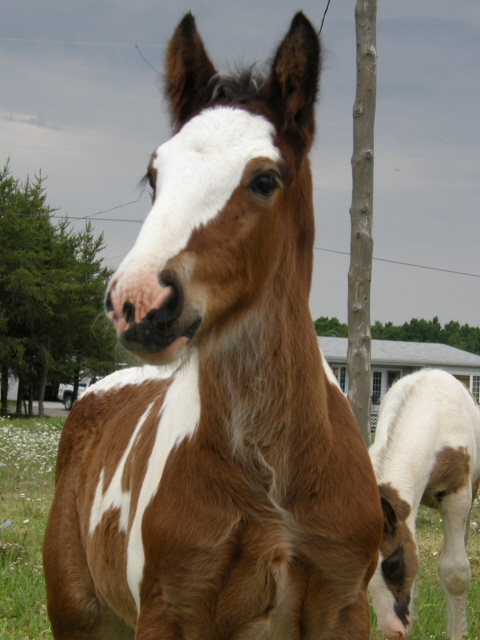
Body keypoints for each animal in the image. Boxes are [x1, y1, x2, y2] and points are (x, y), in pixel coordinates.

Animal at [44, 13, 382, 640]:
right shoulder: (168, 611)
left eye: (266, 179)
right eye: (154, 175)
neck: (272, 474)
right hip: (77, 613)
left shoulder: (345, 607)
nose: (137, 301)